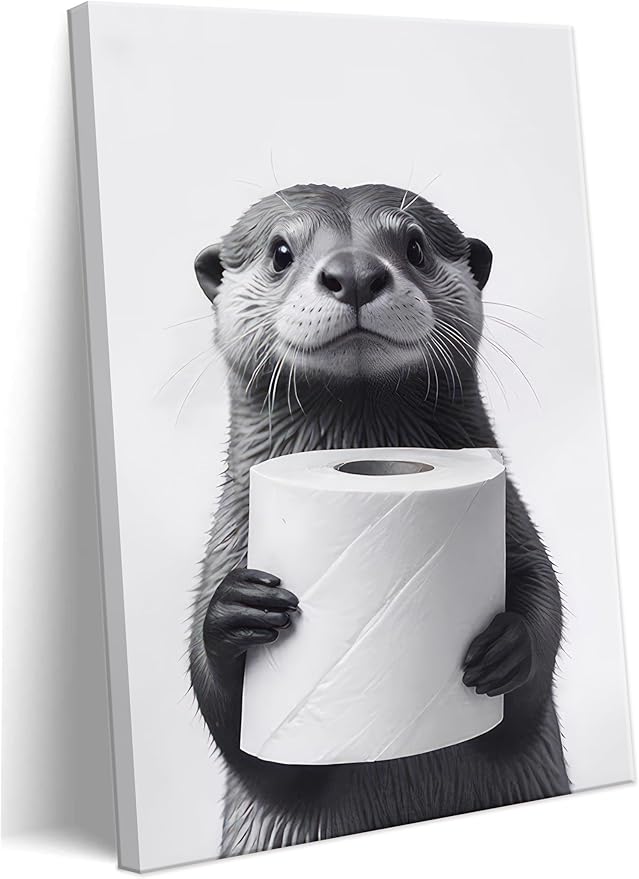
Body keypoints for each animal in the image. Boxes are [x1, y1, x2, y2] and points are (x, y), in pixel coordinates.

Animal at [189, 183, 569, 857]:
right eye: (280, 251)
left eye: (414, 245)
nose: (355, 272)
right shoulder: (229, 540)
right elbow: (238, 736)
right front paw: (237, 610)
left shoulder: (512, 523)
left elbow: (541, 618)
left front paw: (508, 646)